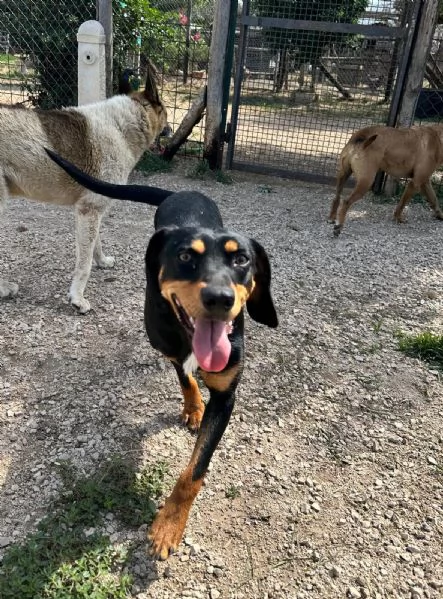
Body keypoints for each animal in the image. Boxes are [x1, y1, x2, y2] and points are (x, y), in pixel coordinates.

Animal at [0, 63, 168, 312]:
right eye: (165, 111)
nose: (171, 130)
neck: (122, 128)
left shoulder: (93, 211)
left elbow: (96, 244)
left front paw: (103, 262)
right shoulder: (89, 210)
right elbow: (84, 262)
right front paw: (77, 298)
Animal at [46, 148, 280, 560]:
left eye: (241, 260)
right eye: (186, 256)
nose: (220, 299)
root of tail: (180, 192)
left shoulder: (227, 395)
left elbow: (194, 470)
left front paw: (169, 524)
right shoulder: (168, 346)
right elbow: (185, 377)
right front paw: (193, 406)